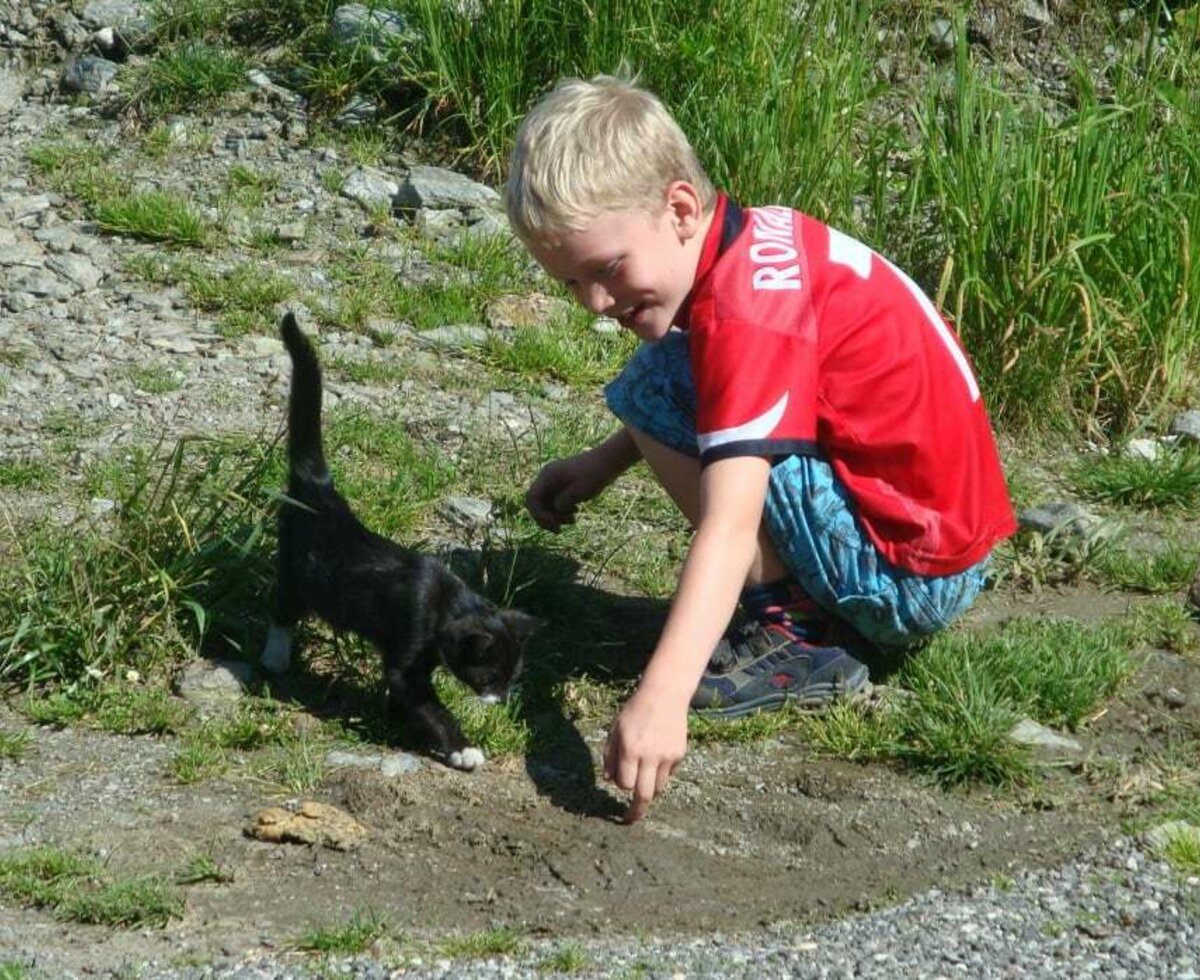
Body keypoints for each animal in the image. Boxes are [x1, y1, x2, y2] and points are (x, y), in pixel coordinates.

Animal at [267, 311, 544, 762]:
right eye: (490, 677)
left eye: (513, 675)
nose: (501, 699)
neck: (445, 603)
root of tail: (319, 487)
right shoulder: (409, 642)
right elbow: (426, 702)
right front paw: (461, 748)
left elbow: (409, 699)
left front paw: (398, 720)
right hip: (297, 569)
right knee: (282, 607)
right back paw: (275, 657)